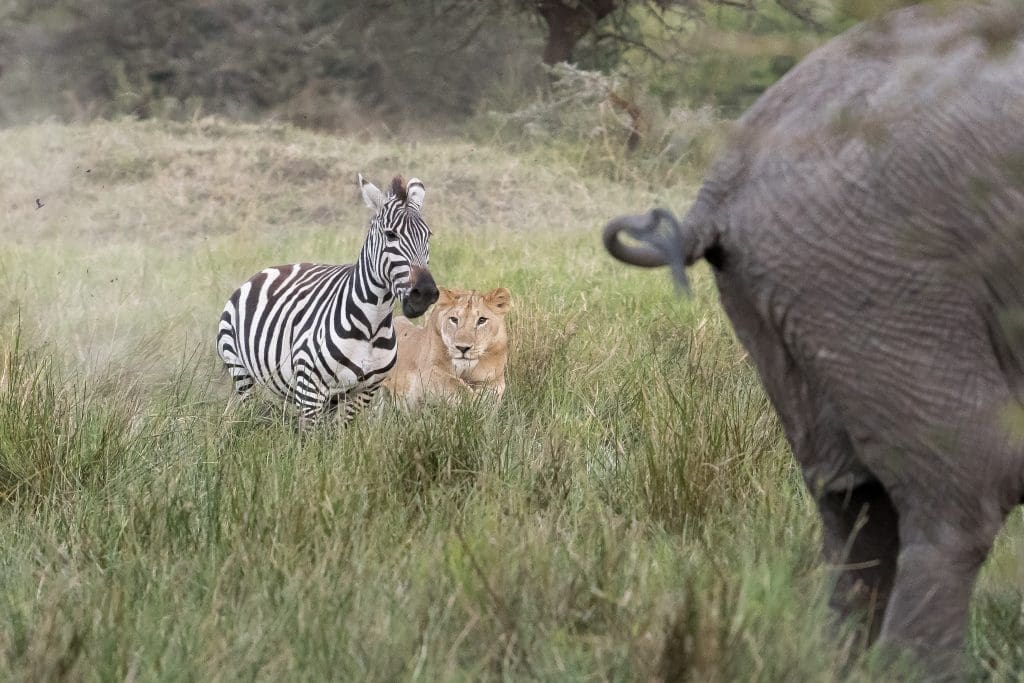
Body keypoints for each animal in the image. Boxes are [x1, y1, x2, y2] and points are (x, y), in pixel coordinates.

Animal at [216, 175, 436, 421]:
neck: (372, 325)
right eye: (391, 235)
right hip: (240, 370)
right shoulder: (310, 389)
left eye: (428, 236)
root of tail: (268, 269)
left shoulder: (363, 392)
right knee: (246, 411)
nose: (425, 293)